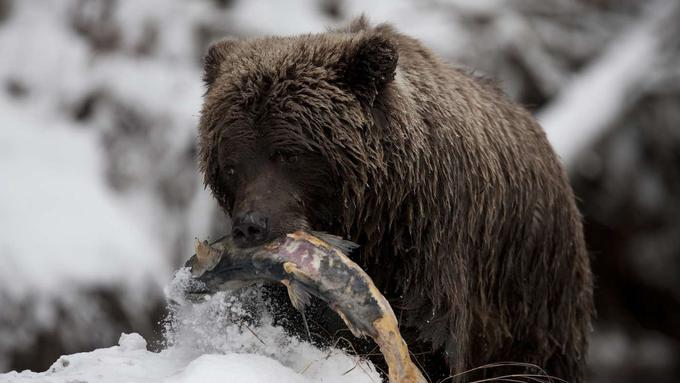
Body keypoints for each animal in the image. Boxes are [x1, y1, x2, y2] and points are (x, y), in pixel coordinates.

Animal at [195, 17, 588, 383]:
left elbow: (428, 335)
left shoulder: (431, 245)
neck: (373, 214)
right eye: (231, 165)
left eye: (288, 154)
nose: (251, 225)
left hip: (534, 291)